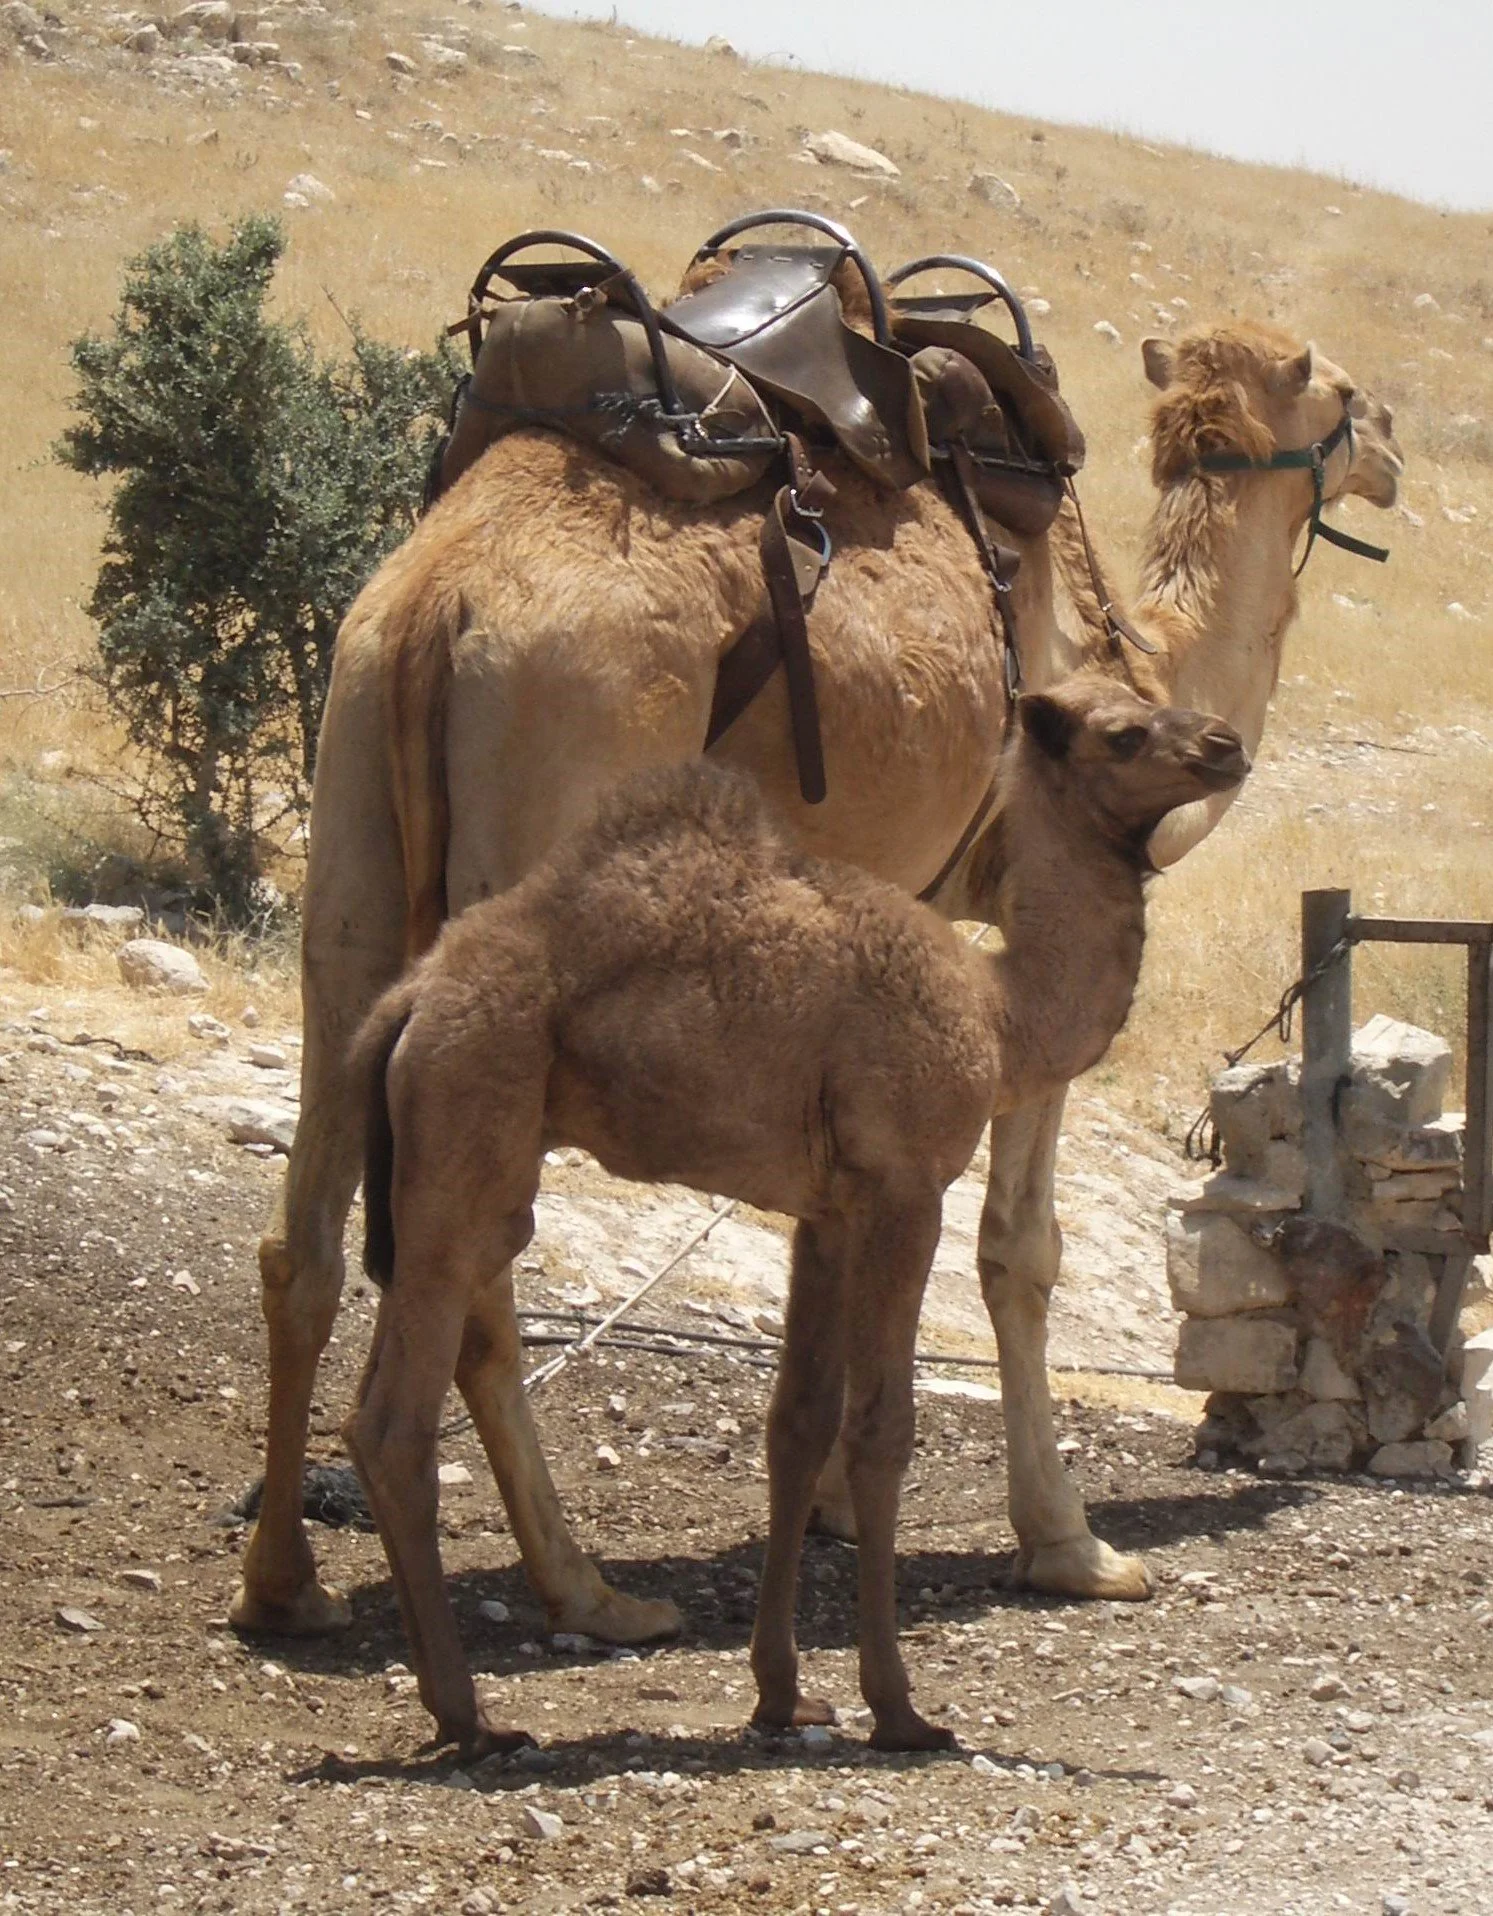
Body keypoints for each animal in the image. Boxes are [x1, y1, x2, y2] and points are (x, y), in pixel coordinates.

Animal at [231, 319, 1401, 1646]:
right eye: (1343, 394)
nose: (1390, 449)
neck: (1133, 653)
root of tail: (441, 597)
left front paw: (839, 1498)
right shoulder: (1018, 895)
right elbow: (1019, 1246)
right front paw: (1069, 1543)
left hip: (354, 829)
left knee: (304, 1228)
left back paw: (286, 1581)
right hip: (547, 815)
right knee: (474, 1259)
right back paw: (586, 1586)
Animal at [345, 675, 1249, 1757]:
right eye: (1123, 733)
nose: (1226, 743)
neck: (997, 1016)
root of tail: (406, 1001)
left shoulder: (825, 1214)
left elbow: (796, 1424)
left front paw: (782, 1693)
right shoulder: (905, 1186)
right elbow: (880, 1427)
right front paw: (900, 1708)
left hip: (438, 1168)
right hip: (465, 1144)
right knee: (394, 1419)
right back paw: (470, 1716)